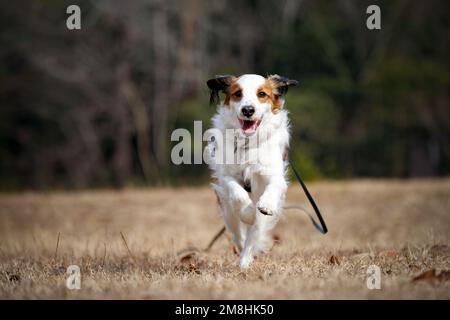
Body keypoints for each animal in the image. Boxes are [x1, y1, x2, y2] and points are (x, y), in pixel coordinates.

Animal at [206, 74, 298, 268]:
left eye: (262, 94)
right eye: (237, 93)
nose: (248, 110)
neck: (248, 143)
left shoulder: (273, 174)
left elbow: (273, 187)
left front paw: (266, 204)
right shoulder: (225, 176)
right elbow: (237, 192)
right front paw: (247, 212)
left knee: (253, 232)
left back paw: (246, 260)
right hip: (228, 213)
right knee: (238, 234)